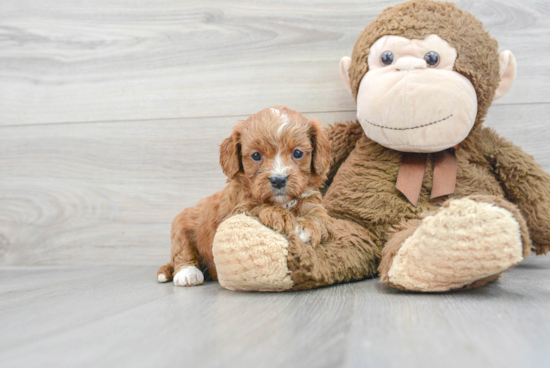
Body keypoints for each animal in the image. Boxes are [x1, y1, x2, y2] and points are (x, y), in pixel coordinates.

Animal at [157, 105, 334, 286]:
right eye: (256, 155)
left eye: (297, 153)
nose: (278, 180)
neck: (282, 202)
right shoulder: (235, 213)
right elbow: (258, 207)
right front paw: (280, 215)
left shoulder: (314, 204)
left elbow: (320, 220)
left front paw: (304, 227)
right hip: (181, 225)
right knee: (182, 252)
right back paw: (187, 274)